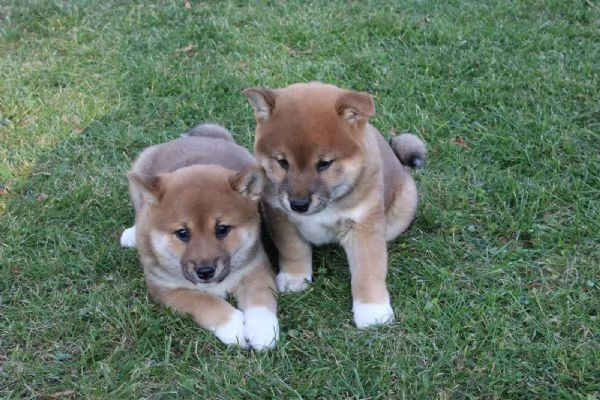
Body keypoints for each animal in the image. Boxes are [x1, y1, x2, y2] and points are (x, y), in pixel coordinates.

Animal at [122, 124, 282, 350]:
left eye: (222, 229)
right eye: (182, 233)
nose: (205, 272)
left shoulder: (256, 268)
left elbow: (261, 300)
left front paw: (263, 331)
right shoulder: (167, 288)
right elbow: (206, 302)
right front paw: (234, 328)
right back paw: (131, 234)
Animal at [240, 83, 426, 330]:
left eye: (324, 164)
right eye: (282, 162)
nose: (298, 205)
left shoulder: (363, 224)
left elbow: (368, 270)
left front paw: (372, 311)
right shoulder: (280, 215)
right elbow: (293, 250)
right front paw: (294, 277)